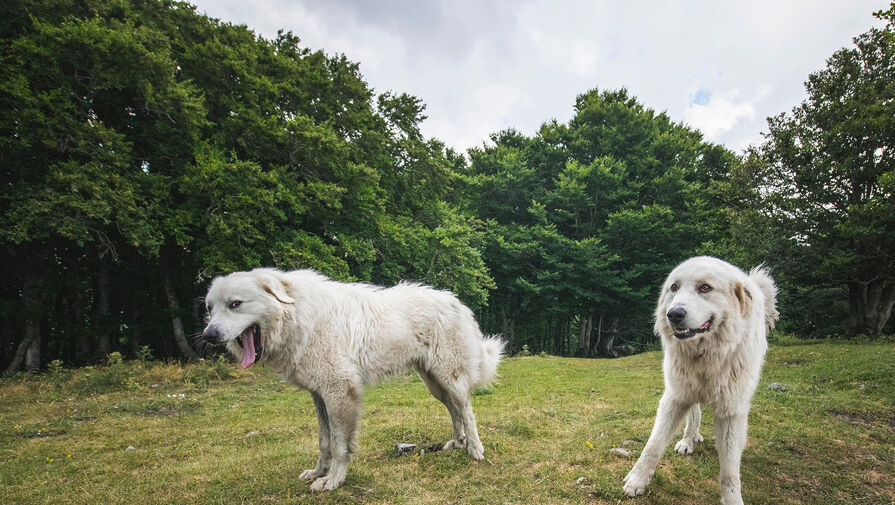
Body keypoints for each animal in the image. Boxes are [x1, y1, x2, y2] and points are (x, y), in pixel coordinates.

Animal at [202, 268, 504, 488]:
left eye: (235, 304)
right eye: (209, 308)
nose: (208, 335)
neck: (297, 314)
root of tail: (457, 302)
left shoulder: (339, 391)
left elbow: (338, 444)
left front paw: (333, 481)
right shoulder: (319, 394)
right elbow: (324, 441)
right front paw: (318, 472)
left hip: (449, 376)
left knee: (466, 409)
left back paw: (475, 449)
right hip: (434, 383)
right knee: (454, 409)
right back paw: (457, 443)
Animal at [624, 256, 776, 504]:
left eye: (705, 288)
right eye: (674, 287)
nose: (674, 314)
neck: (706, 356)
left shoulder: (731, 411)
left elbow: (730, 470)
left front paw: (732, 498)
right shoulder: (675, 397)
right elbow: (653, 445)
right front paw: (637, 480)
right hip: (688, 390)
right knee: (694, 415)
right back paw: (688, 440)